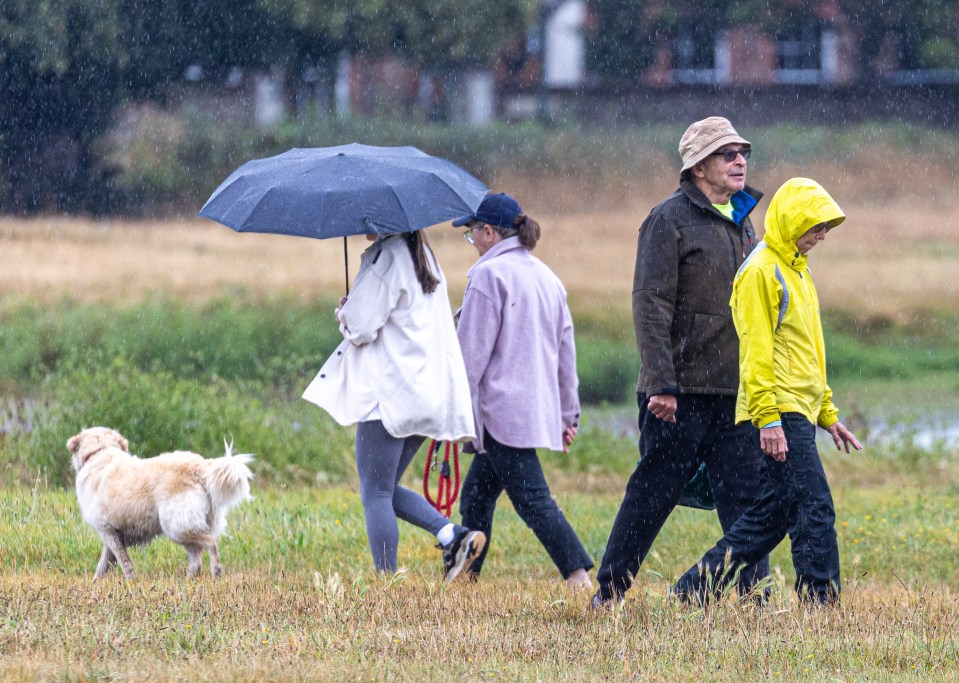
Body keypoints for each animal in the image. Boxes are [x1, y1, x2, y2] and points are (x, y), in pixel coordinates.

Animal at [68, 428, 255, 576]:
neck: (99, 453)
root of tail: (200, 467)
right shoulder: (113, 534)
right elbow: (104, 563)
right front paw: (96, 582)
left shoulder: (107, 530)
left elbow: (123, 561)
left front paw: (131, 581)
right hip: (184, 528)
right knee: (196, 560)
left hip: (176, 526)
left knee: (211, 543)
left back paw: (215, 571)